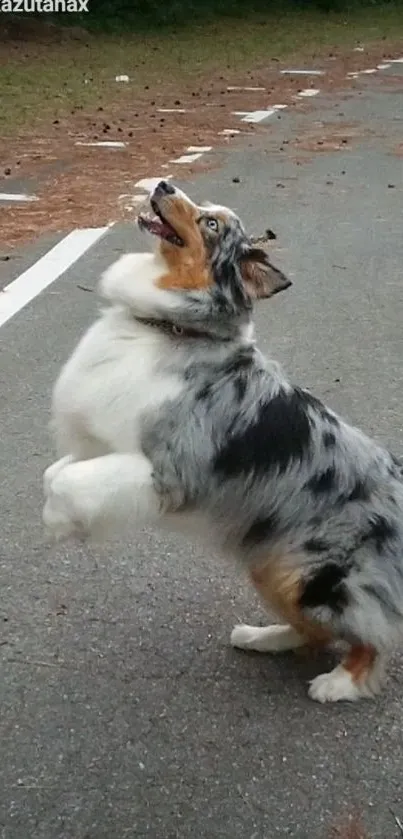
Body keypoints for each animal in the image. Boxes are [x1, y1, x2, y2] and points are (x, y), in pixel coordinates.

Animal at [43, 179, 403, 704]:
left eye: (210, 223)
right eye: (204, 208)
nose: (164, 184)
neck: (176, 326)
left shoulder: (168, 469)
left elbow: (67, 481)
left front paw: (56, 521)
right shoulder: (110, 441)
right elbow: (58, 472)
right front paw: (65, 522)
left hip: (318, 575)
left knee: (368, 634)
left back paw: (339, 683)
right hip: (272, 565)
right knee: (313, 632)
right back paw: (261, 637)